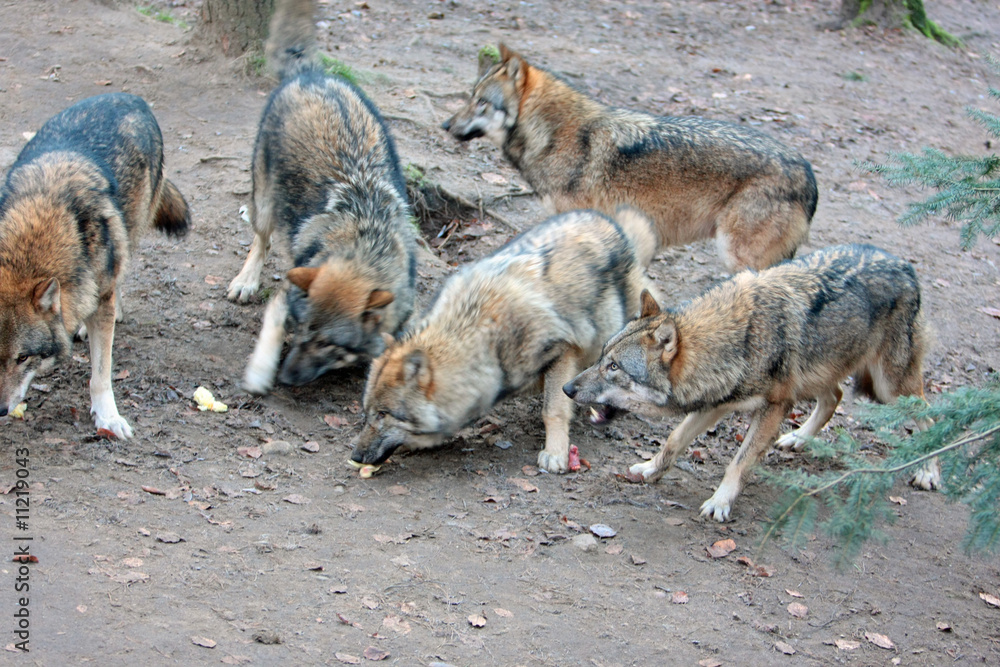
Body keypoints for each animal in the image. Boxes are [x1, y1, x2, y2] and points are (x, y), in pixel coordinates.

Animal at [0, 93, 190, 438]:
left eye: (23, 358)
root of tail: (131, 97)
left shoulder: (100, 300)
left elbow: (101, 374)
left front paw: (108, 417)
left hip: (130, 232)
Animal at [227, 0, 417, 394]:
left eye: (327, 344)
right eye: (298, 330)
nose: (286, 379)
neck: (365, 242)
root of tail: (311, 74)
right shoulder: (287, 294)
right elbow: (271, 323)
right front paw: (259, 372)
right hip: (264, 203)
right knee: (260, 240)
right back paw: (246, 281)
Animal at [350, 208, 658, 473]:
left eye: (383, 414)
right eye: (367, 413)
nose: (355, 456)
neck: (484, 336)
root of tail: (607, 219)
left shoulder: (562, 351)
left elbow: (553, 410)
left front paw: (555, 453)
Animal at [442, 44, 817, 271]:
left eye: (481, 102)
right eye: (470, 97)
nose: (445, 124)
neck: (552, 134)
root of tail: (809, 173)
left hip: (738, 257)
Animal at [563, 244, 936, 521]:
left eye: (614, 367)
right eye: (601, 357)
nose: (568, 389)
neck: (738, 340)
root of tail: (906, 265)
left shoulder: (775, 407)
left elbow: (739, 462)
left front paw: (720, 502)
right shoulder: (716, 403)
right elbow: (673, 440)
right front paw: (650, 469)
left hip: (890, 387)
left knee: (929, 417)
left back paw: (929, 471)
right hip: (820, 374)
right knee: (835, 397)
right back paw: (798, 438)